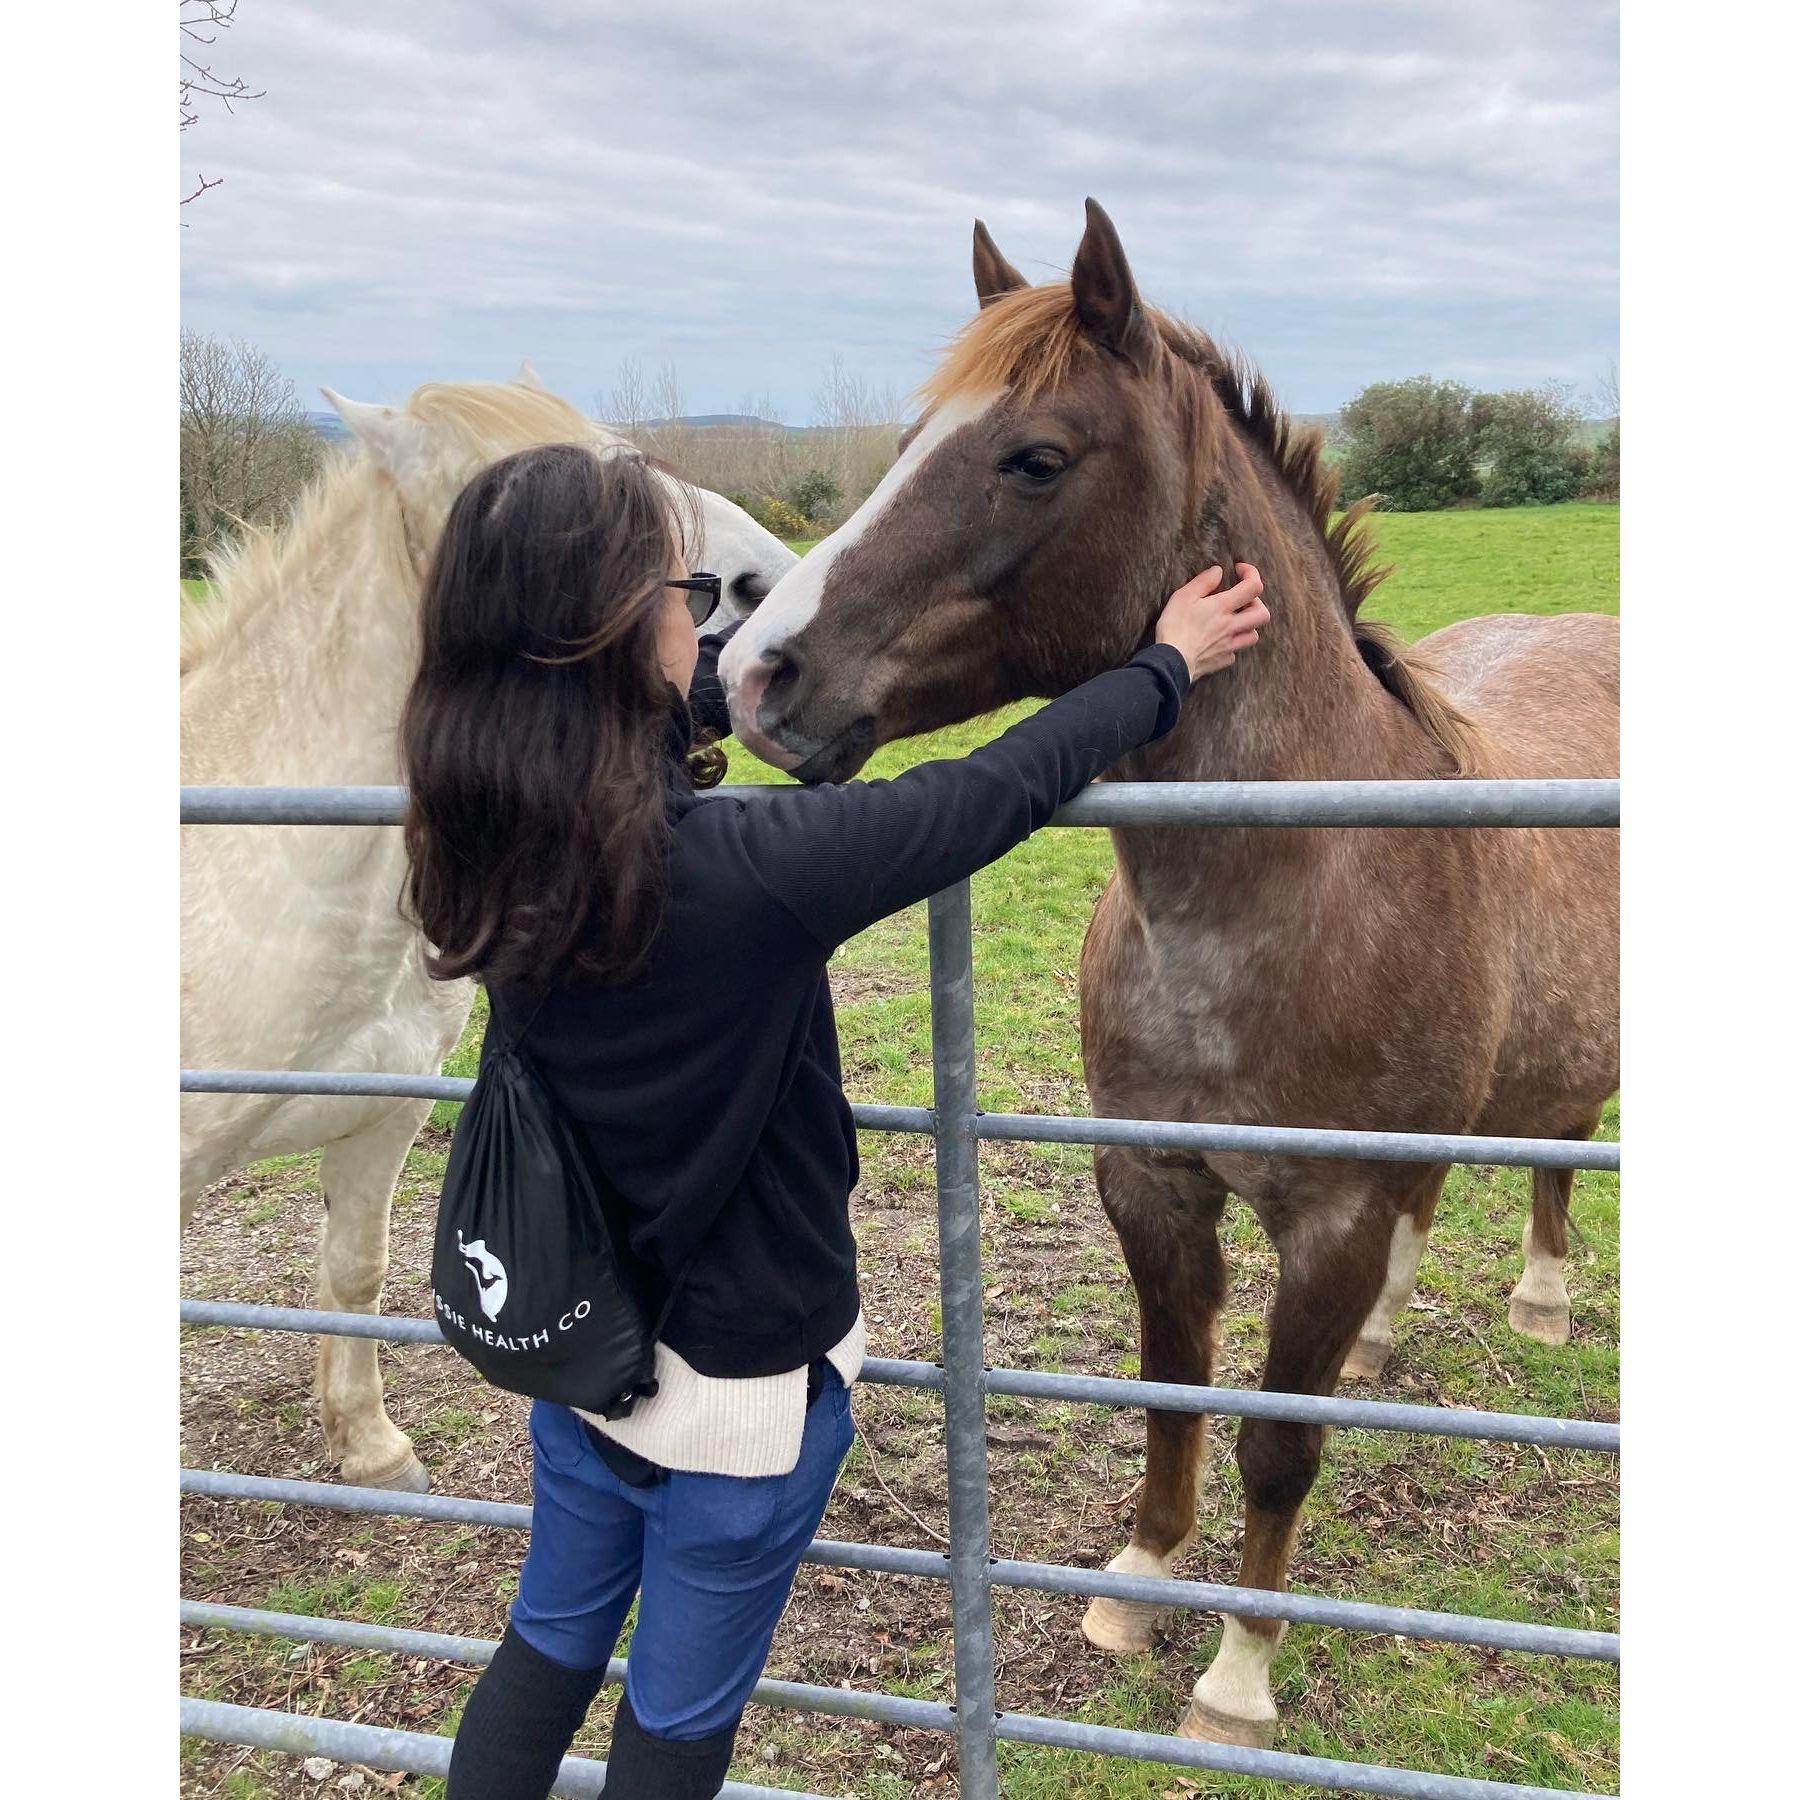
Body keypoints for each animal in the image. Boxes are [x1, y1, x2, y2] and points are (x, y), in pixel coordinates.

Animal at [718, 203, 1618, 1747]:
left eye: (1034, 457)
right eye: (905, 439)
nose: (755, 674)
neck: (1287, 896)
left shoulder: (1327, 1222)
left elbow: (1277, 1447)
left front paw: (1237, 1678)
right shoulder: (1150, 1182)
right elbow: (1170, 1392)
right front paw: (1137, 1586)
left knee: (1557, 1147)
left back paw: (1544, 1300)